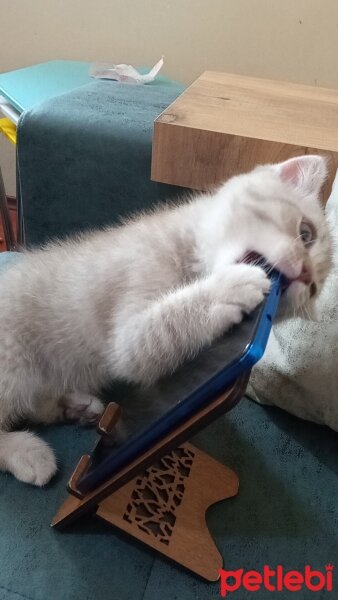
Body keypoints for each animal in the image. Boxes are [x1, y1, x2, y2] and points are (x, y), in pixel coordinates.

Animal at [0, 154, 332, 482]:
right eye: (306, 234)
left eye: (314, 289)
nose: (306, 276)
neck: (191, 246)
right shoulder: (129, 329)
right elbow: (165, 324)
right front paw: (230, 287)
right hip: (13, 362)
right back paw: (29, 454)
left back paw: (75, 406)